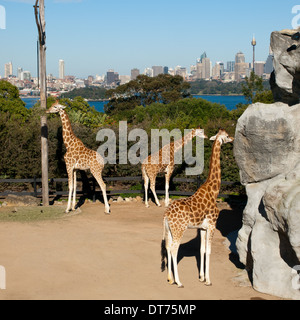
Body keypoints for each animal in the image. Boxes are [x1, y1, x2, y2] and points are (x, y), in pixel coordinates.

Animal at [162, 129, 234, 288]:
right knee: (175, 249)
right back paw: (179, 282)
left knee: (168, 247)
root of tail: (166, 214)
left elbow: (201, 250)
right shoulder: (212, 225)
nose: (233, 138)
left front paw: (201, 277)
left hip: (170, 230)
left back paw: (170, 279)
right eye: (226, 135)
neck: (214, 191)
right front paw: (208, 280)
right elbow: (209, 250)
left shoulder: (202, 228)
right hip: (179, 229)